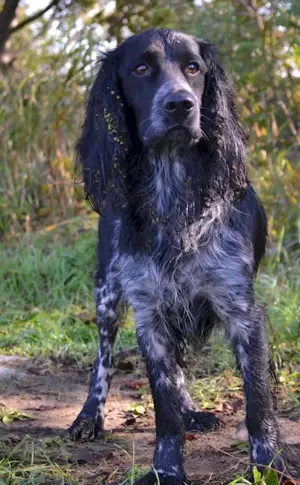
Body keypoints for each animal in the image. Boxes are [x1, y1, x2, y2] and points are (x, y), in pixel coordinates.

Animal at [68, 29, 300, 484]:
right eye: (141, 68)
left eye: (194, 67)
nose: (180, 104)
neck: (174, 195)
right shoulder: (149, 313)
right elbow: (164, 407)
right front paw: (166, 470)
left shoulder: (241, 310)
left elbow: (257, 401)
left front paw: (270, 464)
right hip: (108, 292)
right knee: (104, 356)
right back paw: (89, 416)